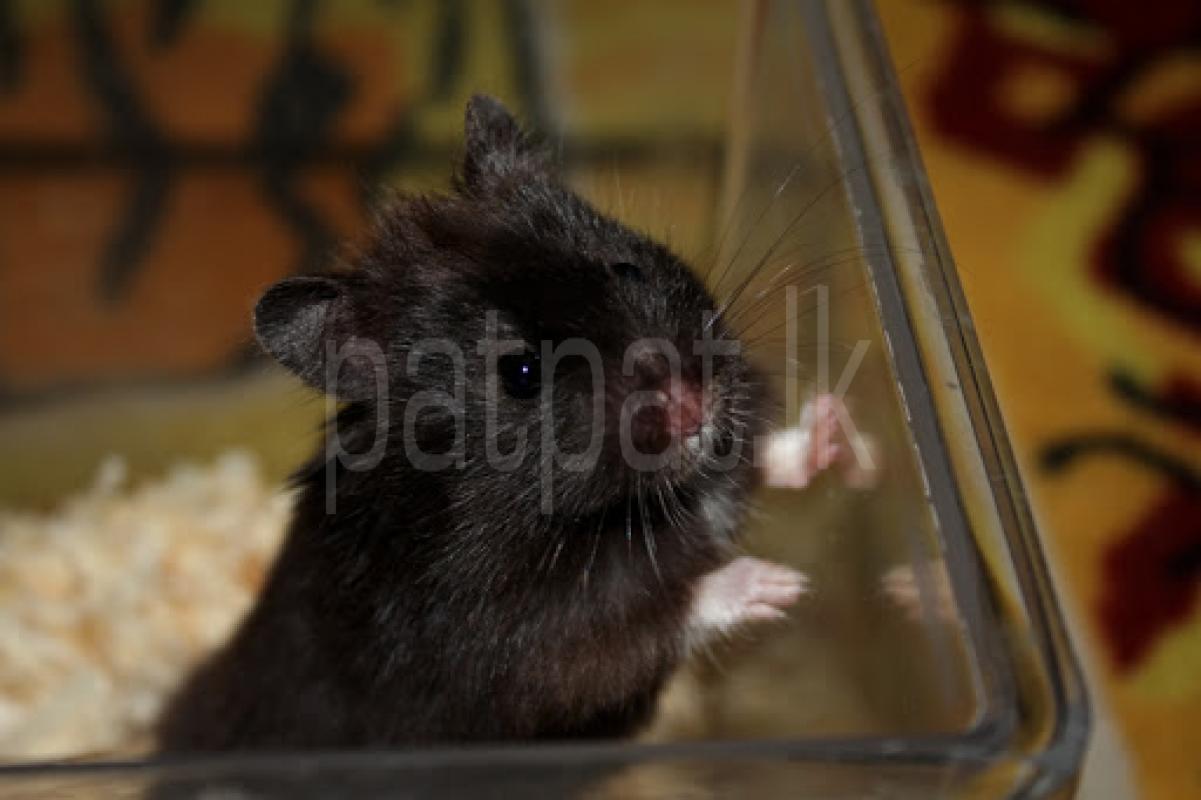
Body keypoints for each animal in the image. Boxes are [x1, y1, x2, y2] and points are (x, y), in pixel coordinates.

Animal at [156, 95, 851, 751]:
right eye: (520, 372)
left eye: (624, 268)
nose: (692, 404)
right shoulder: (517, 645)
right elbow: (650, 617)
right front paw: (778, 585)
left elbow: (752, 462)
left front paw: (835, 430)